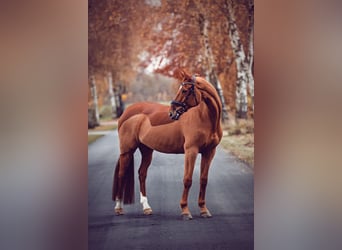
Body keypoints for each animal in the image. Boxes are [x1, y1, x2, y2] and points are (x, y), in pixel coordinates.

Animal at [112, 70, 223, 219]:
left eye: (185, 90)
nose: (172, 112)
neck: (205, 117)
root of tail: (126, 113)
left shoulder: (209, 152)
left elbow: (203, 180)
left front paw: (204, 210)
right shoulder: (191, 151)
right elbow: (187, 180)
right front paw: (185, 211)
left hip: (146, 150)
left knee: (142, 174)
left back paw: (147, 208)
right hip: (127, 151)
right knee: (121, 175)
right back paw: (118, 208)